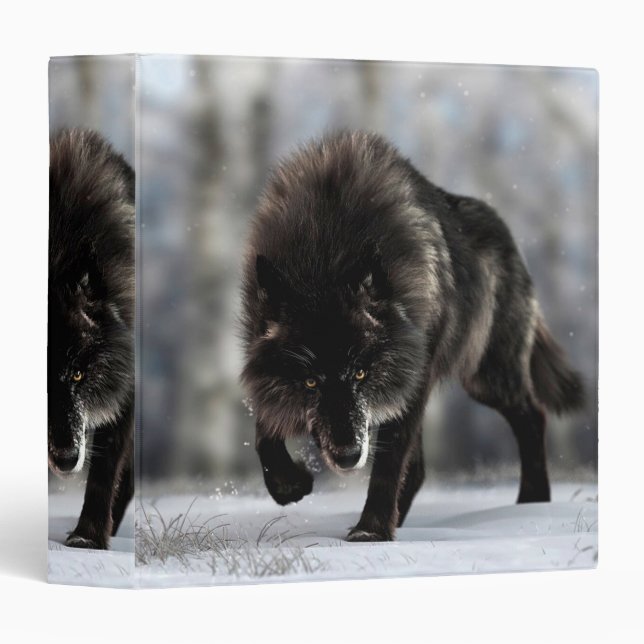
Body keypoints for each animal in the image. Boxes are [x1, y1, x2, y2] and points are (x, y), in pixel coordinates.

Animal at [240, 130, 584, 542]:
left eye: (360, 374)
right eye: (310, 382)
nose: (348, 457)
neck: (325, 249)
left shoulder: (411, 378)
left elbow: (389, 464)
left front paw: (370, 533)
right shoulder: (263, 367)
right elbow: (264, 429)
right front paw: (289, 484)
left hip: (485, 377)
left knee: (533, 416)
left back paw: (531, 506)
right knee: (419, 468)